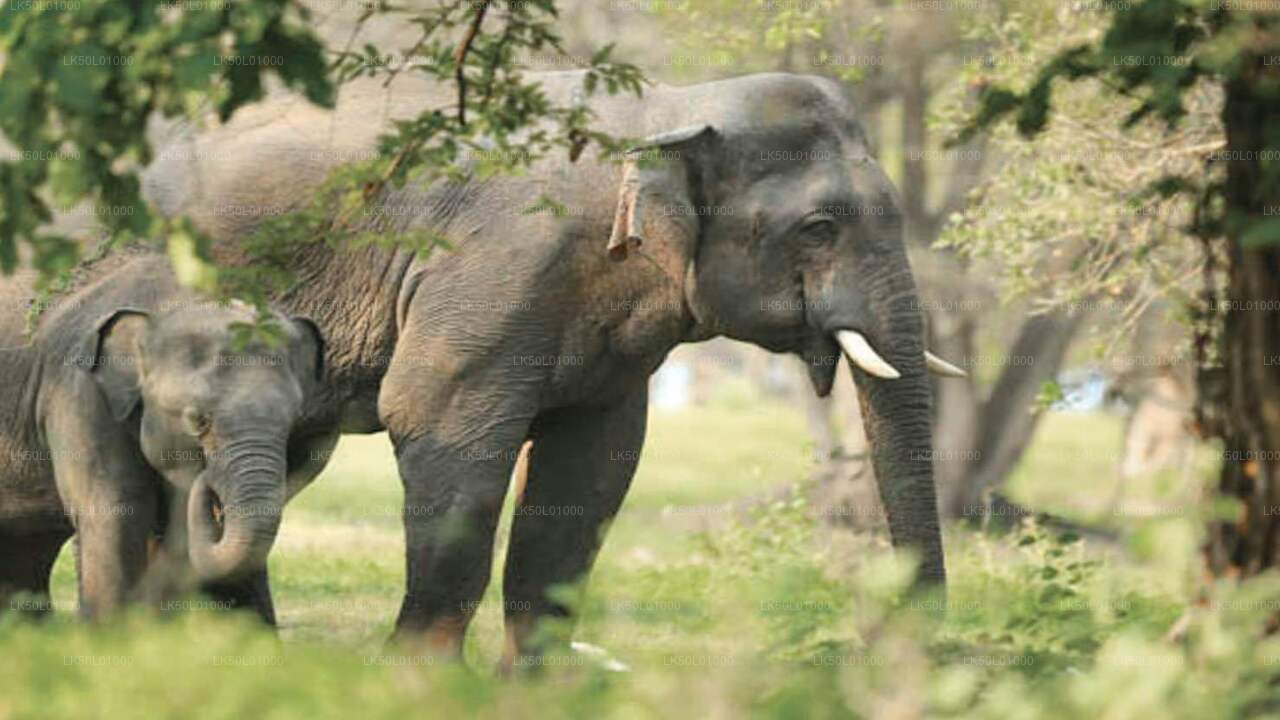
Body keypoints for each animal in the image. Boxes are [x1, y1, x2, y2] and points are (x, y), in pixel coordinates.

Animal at [140, 70, 964, 663]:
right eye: (819, 228)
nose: (913, 647)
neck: (665, 109)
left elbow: (590, 470)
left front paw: (538, 686)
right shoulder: (493, 269)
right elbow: (441, 429)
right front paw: (418, 681)